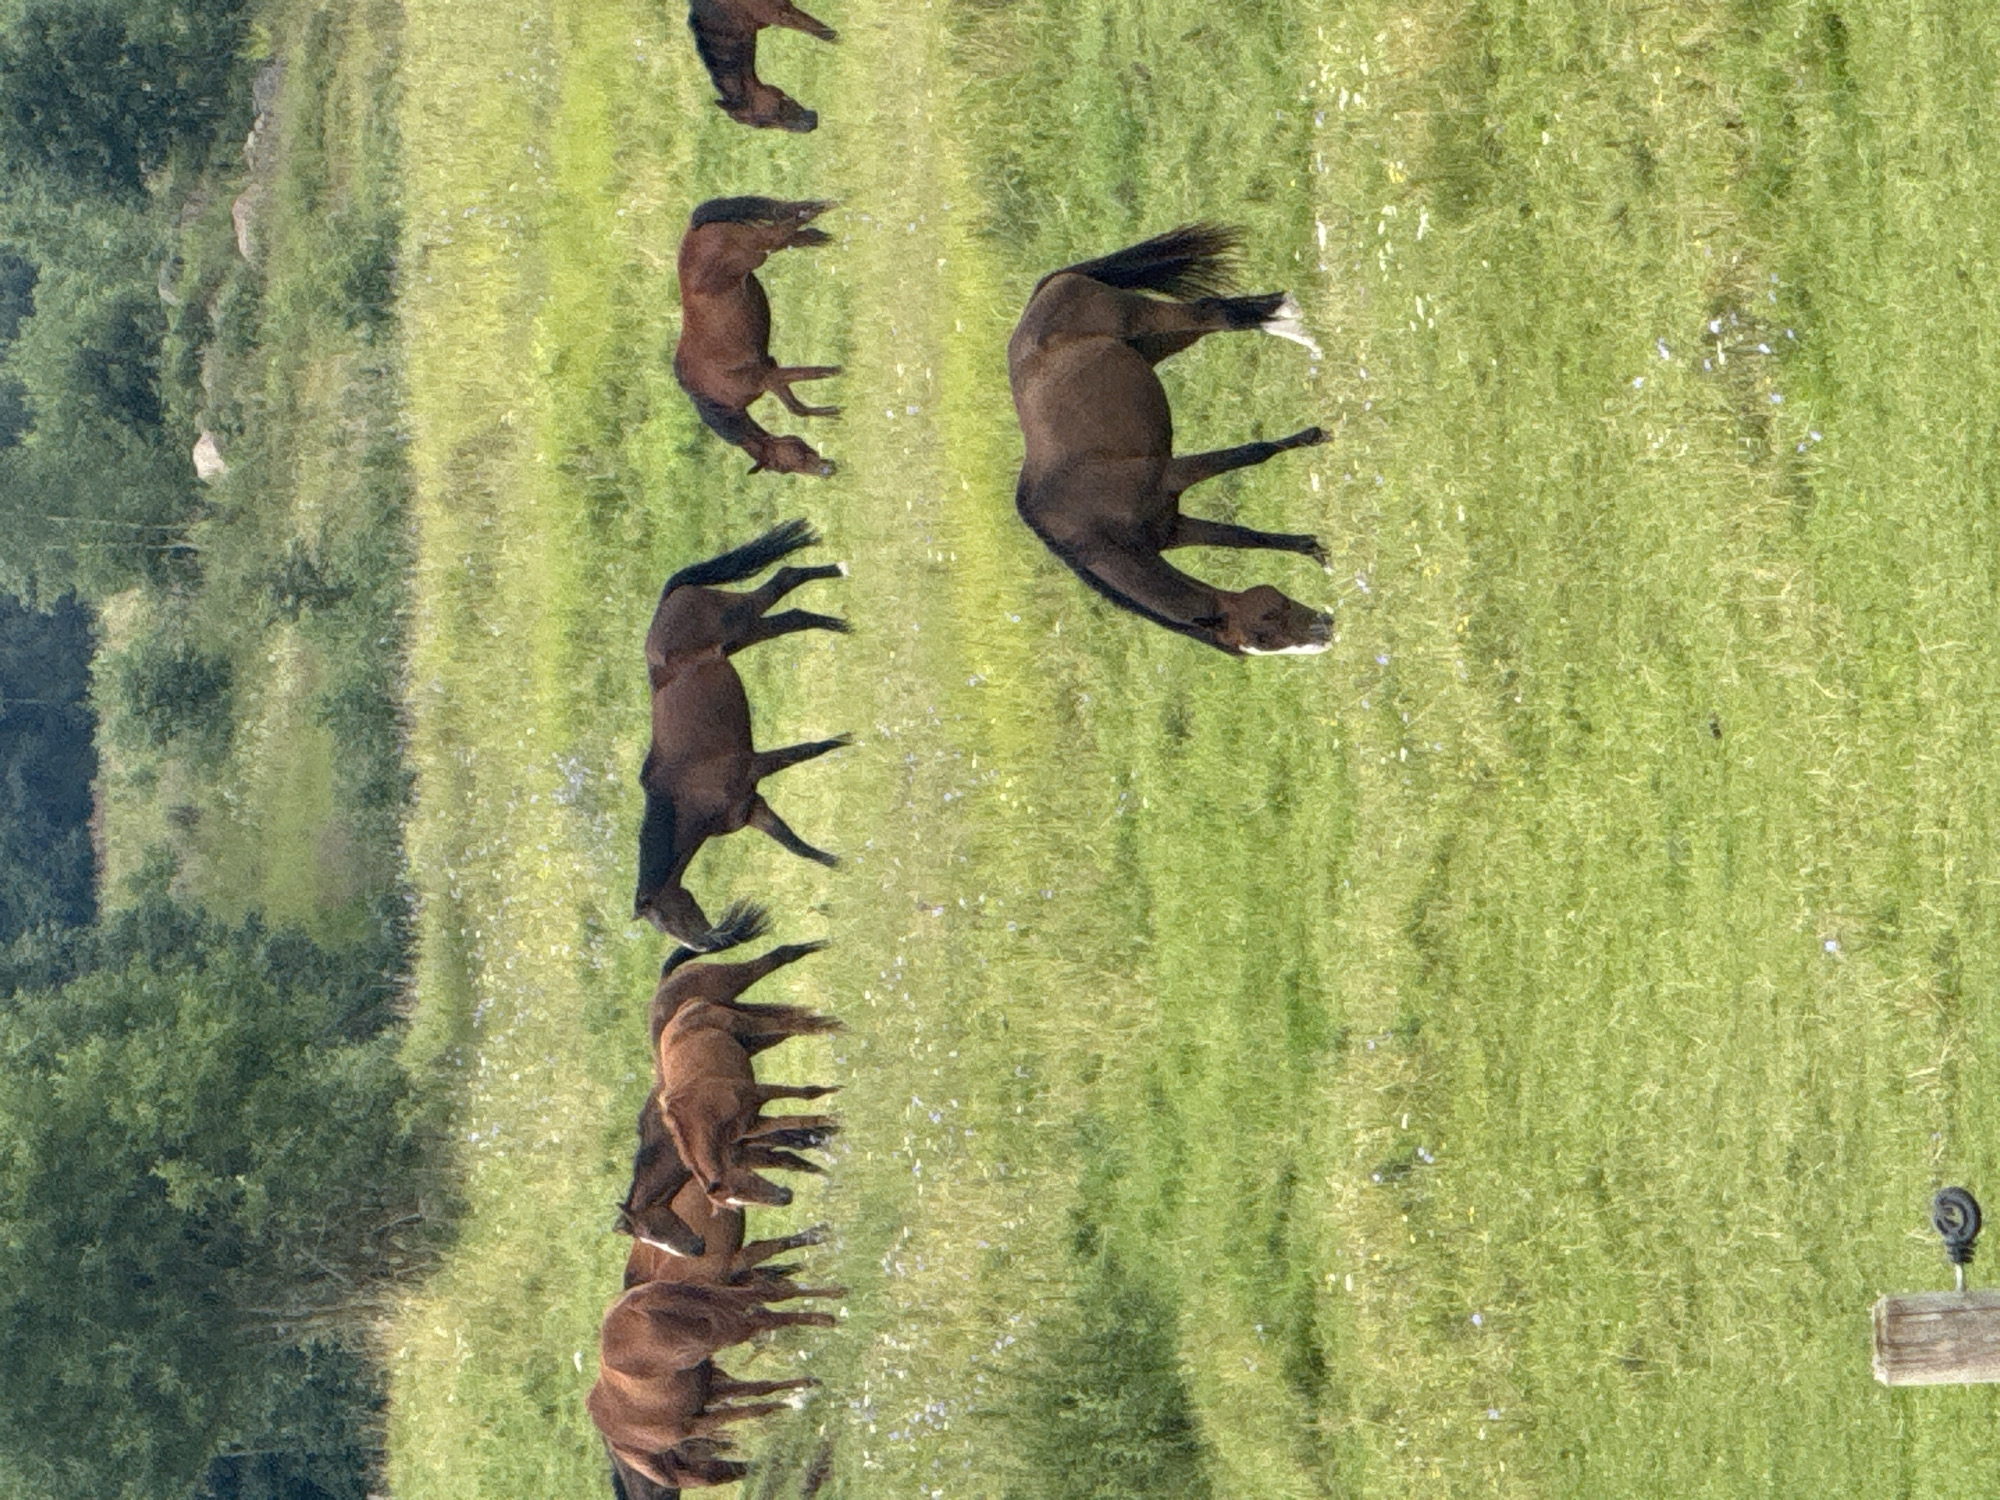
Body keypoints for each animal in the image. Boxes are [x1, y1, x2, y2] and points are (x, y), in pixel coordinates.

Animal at [634, 525, 851, 948]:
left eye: (668, 917)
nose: (711, 944)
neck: (686, 796)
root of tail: (668, 598)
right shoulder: (753, 809)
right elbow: (795, 846)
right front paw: (840, 865)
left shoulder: (756, 766)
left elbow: (808, 750)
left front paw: (846, 741)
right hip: (748, 633)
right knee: (793, 612)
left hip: (742, 621)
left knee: (785, 581)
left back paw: (839, 579)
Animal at [676, 199, 841, 477]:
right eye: (784, 467)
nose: (826, 471)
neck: (718, 395)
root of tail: (693, 226)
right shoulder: (771, 374)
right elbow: (796, 408)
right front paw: (833, 411)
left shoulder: (768, 376)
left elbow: (809, 376)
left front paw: (840, 371)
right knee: (788, 222)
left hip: (759, 249)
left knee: (785, 227)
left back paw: (821, 210)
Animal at [1008, 223, 1336, 656]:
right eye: (1262, 634)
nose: (1325, 631)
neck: (1089, 525)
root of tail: (1046, 289)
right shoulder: (1177, 528)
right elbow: (1246, 538)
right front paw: (1313, 550)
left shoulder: (1173, 474)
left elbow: (1253, 453)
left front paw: (1313, 437)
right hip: (1163, 341)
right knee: (1221, 316)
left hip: (1151, 321)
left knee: (1218, 314)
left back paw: (1299, 323)